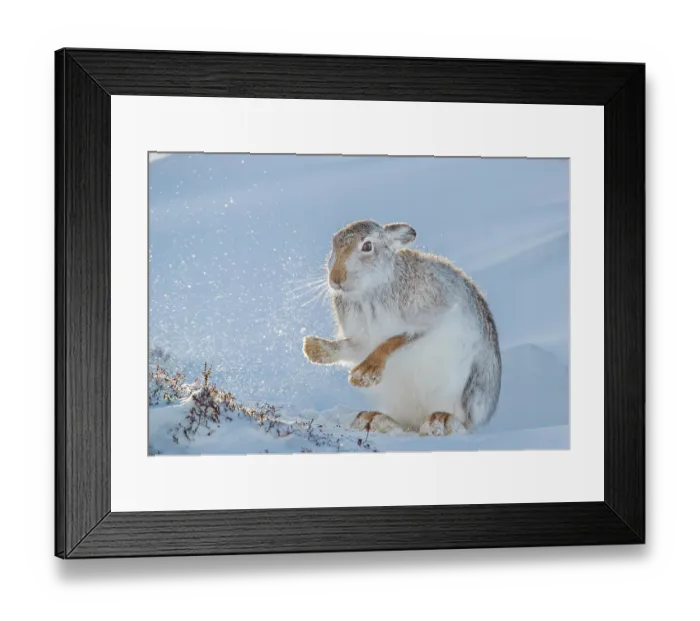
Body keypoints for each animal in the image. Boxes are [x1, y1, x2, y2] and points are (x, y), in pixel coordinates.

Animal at [302, 219, 501, 436]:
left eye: (367, 246)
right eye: (334, 245)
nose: (336, 278)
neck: (370, 291)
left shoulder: (431, 319)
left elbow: (393, 341)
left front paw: (364, 374)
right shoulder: (361, 342)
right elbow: (346, 347)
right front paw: (313, 349)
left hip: (469, 389)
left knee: (463, 425)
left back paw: (440, 421)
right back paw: (371, 419)